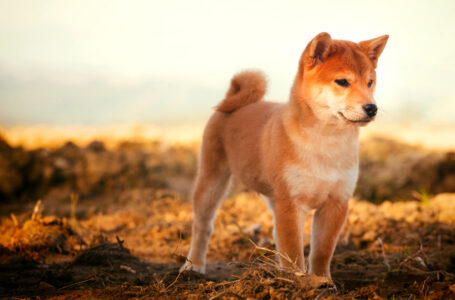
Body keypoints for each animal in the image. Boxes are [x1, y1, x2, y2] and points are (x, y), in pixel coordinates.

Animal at [182, 32, 388, 278]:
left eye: (370, 82)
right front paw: (296, 281)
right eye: (342, 82)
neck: (326, 142)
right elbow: (294, 252)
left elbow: (321, 252)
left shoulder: (336, 202)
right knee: (202, 226)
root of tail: (233, 102)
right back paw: (194, 265)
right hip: (213, 180)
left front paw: (321, 281)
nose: (372, 107)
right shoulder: (291, 202)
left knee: (274, 233)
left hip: (273, 195)